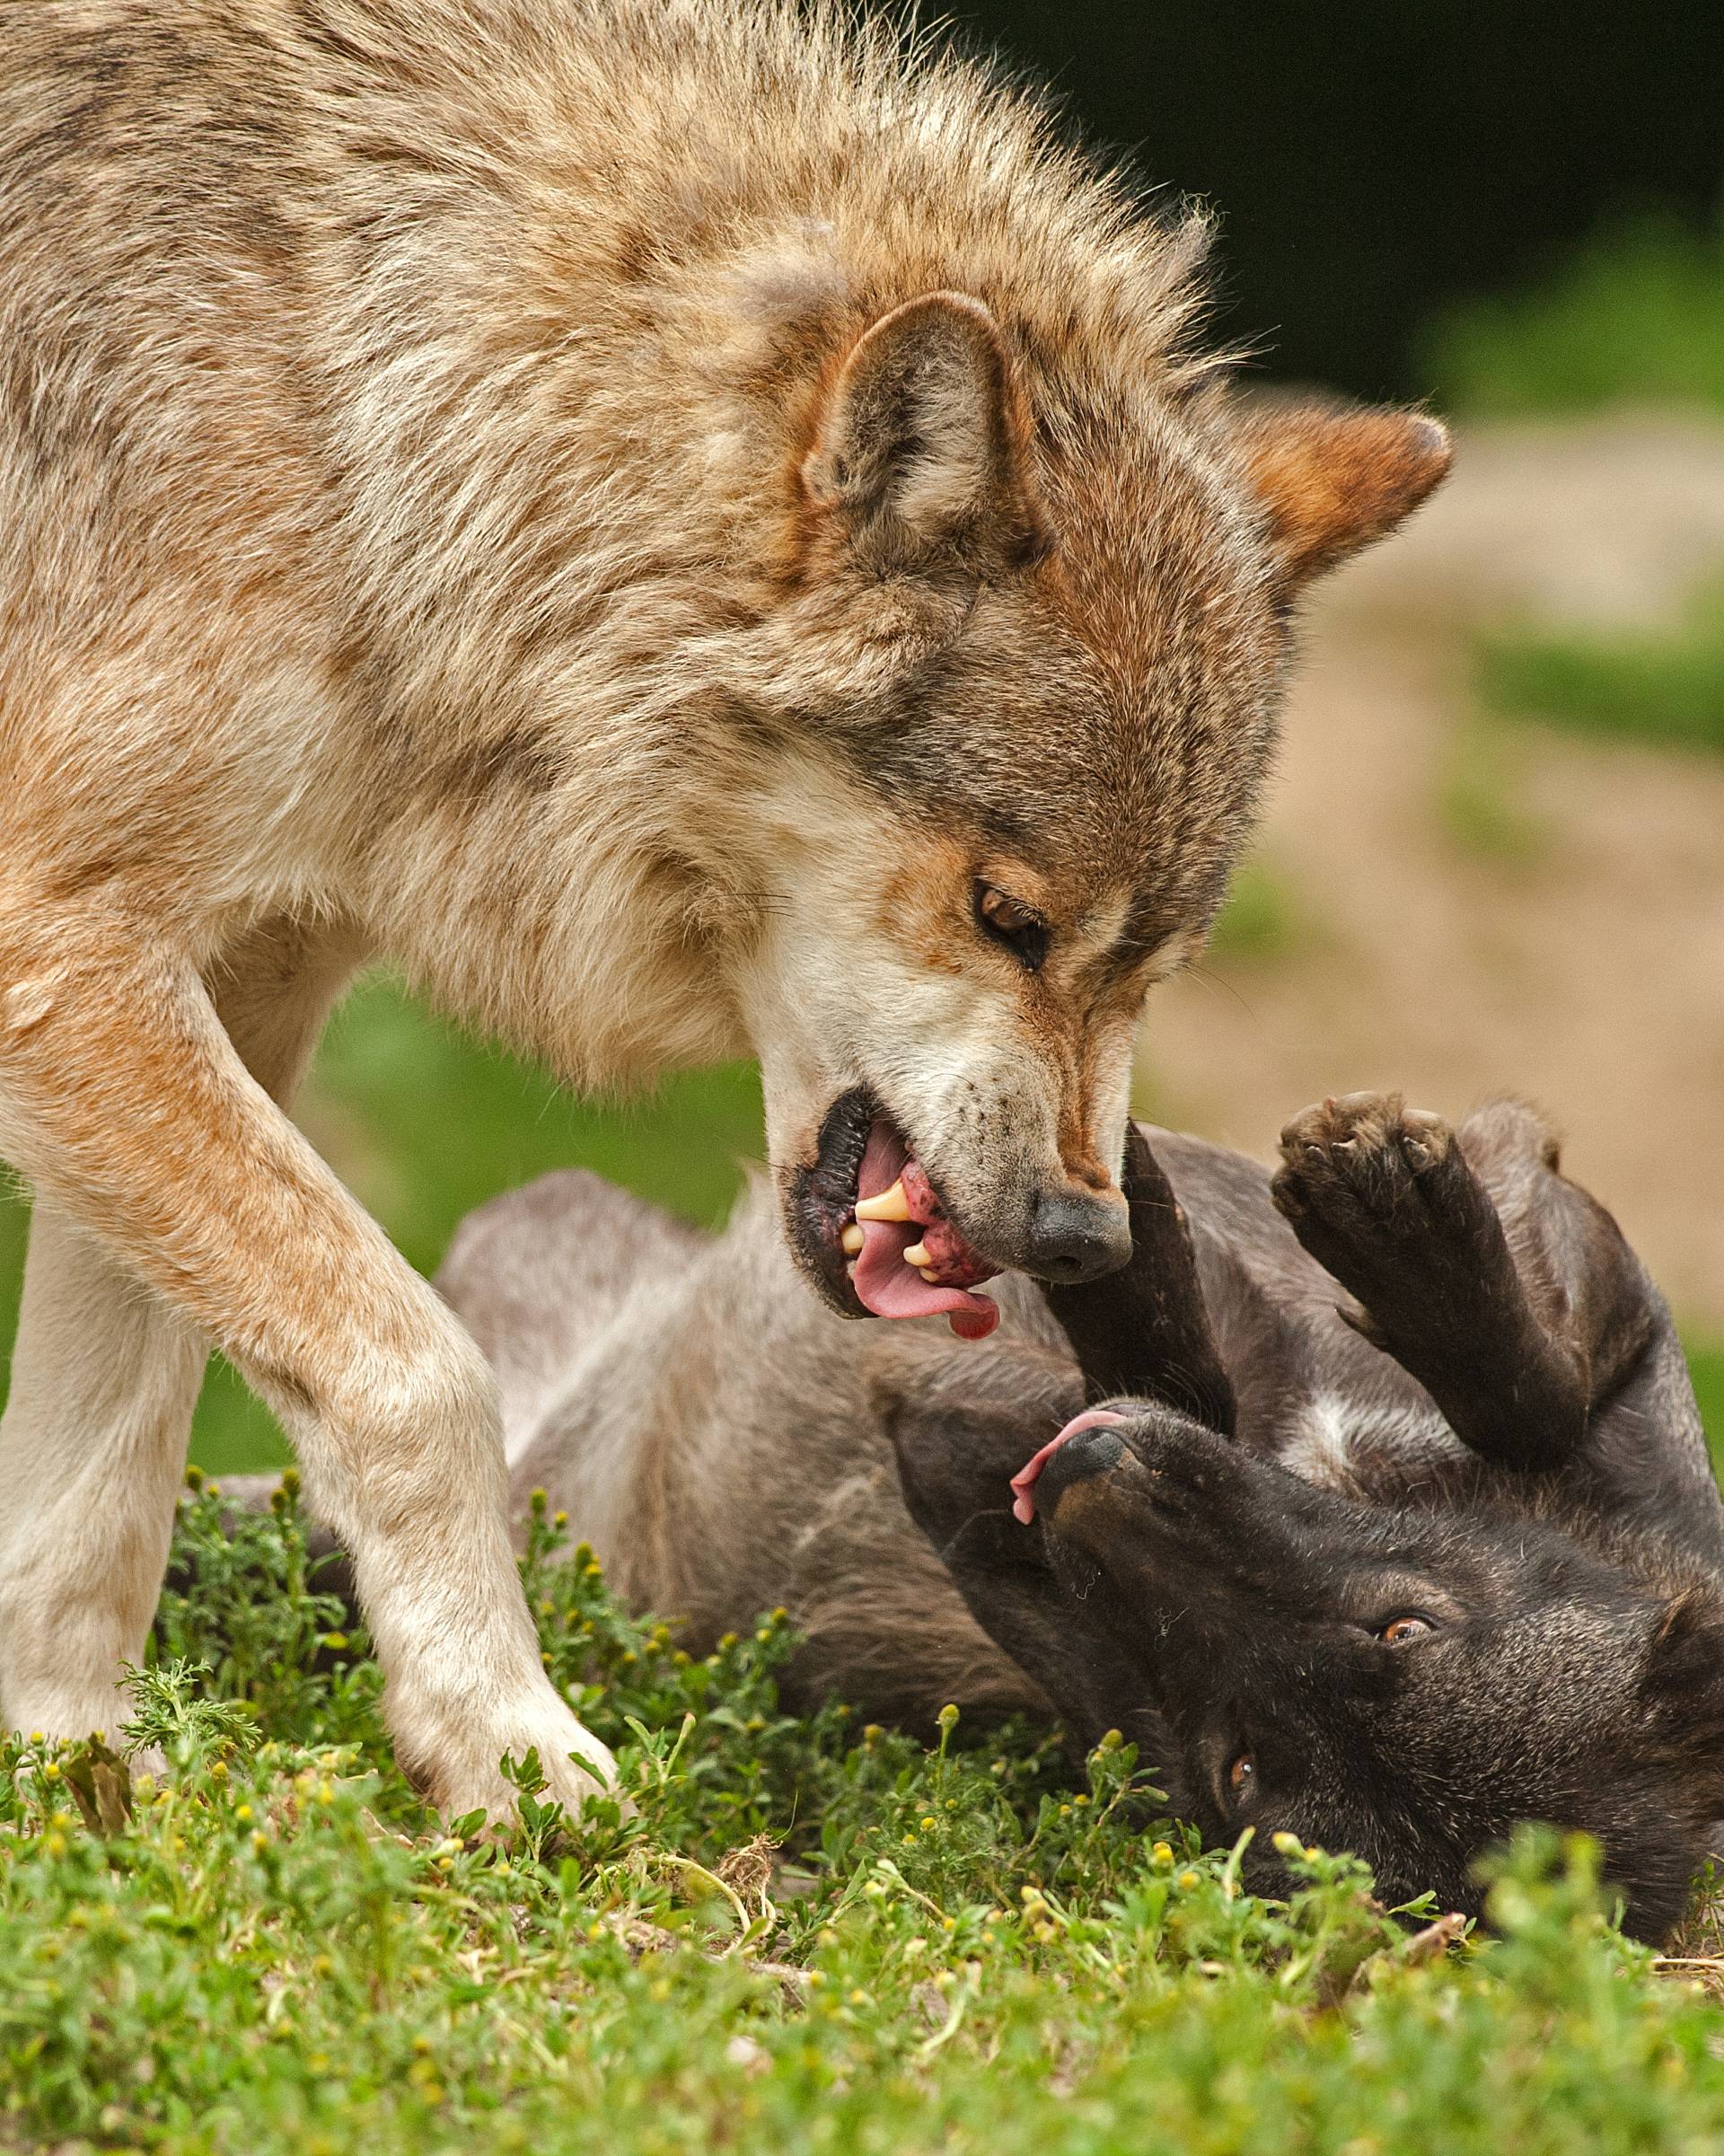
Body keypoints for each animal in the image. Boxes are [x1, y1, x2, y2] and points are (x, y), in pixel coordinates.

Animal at [0, 0, 1447, 1819]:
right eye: (1008, 917)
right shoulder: (68, 948)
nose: (1082, 1236)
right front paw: (506, 1744)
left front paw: (65, 1776)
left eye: (1151, 968)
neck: (371, 424)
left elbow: (100, 1471)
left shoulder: (235, 976)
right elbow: (415, 1373)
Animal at [388, 1095, 1706, 1940]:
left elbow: (1168, 1373)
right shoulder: (1561, 1224)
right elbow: (1529, 1387)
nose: (1085, 1472)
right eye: (1408, 1624)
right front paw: (1393, 1223)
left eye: (1242, 1770)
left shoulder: (969, 1475)